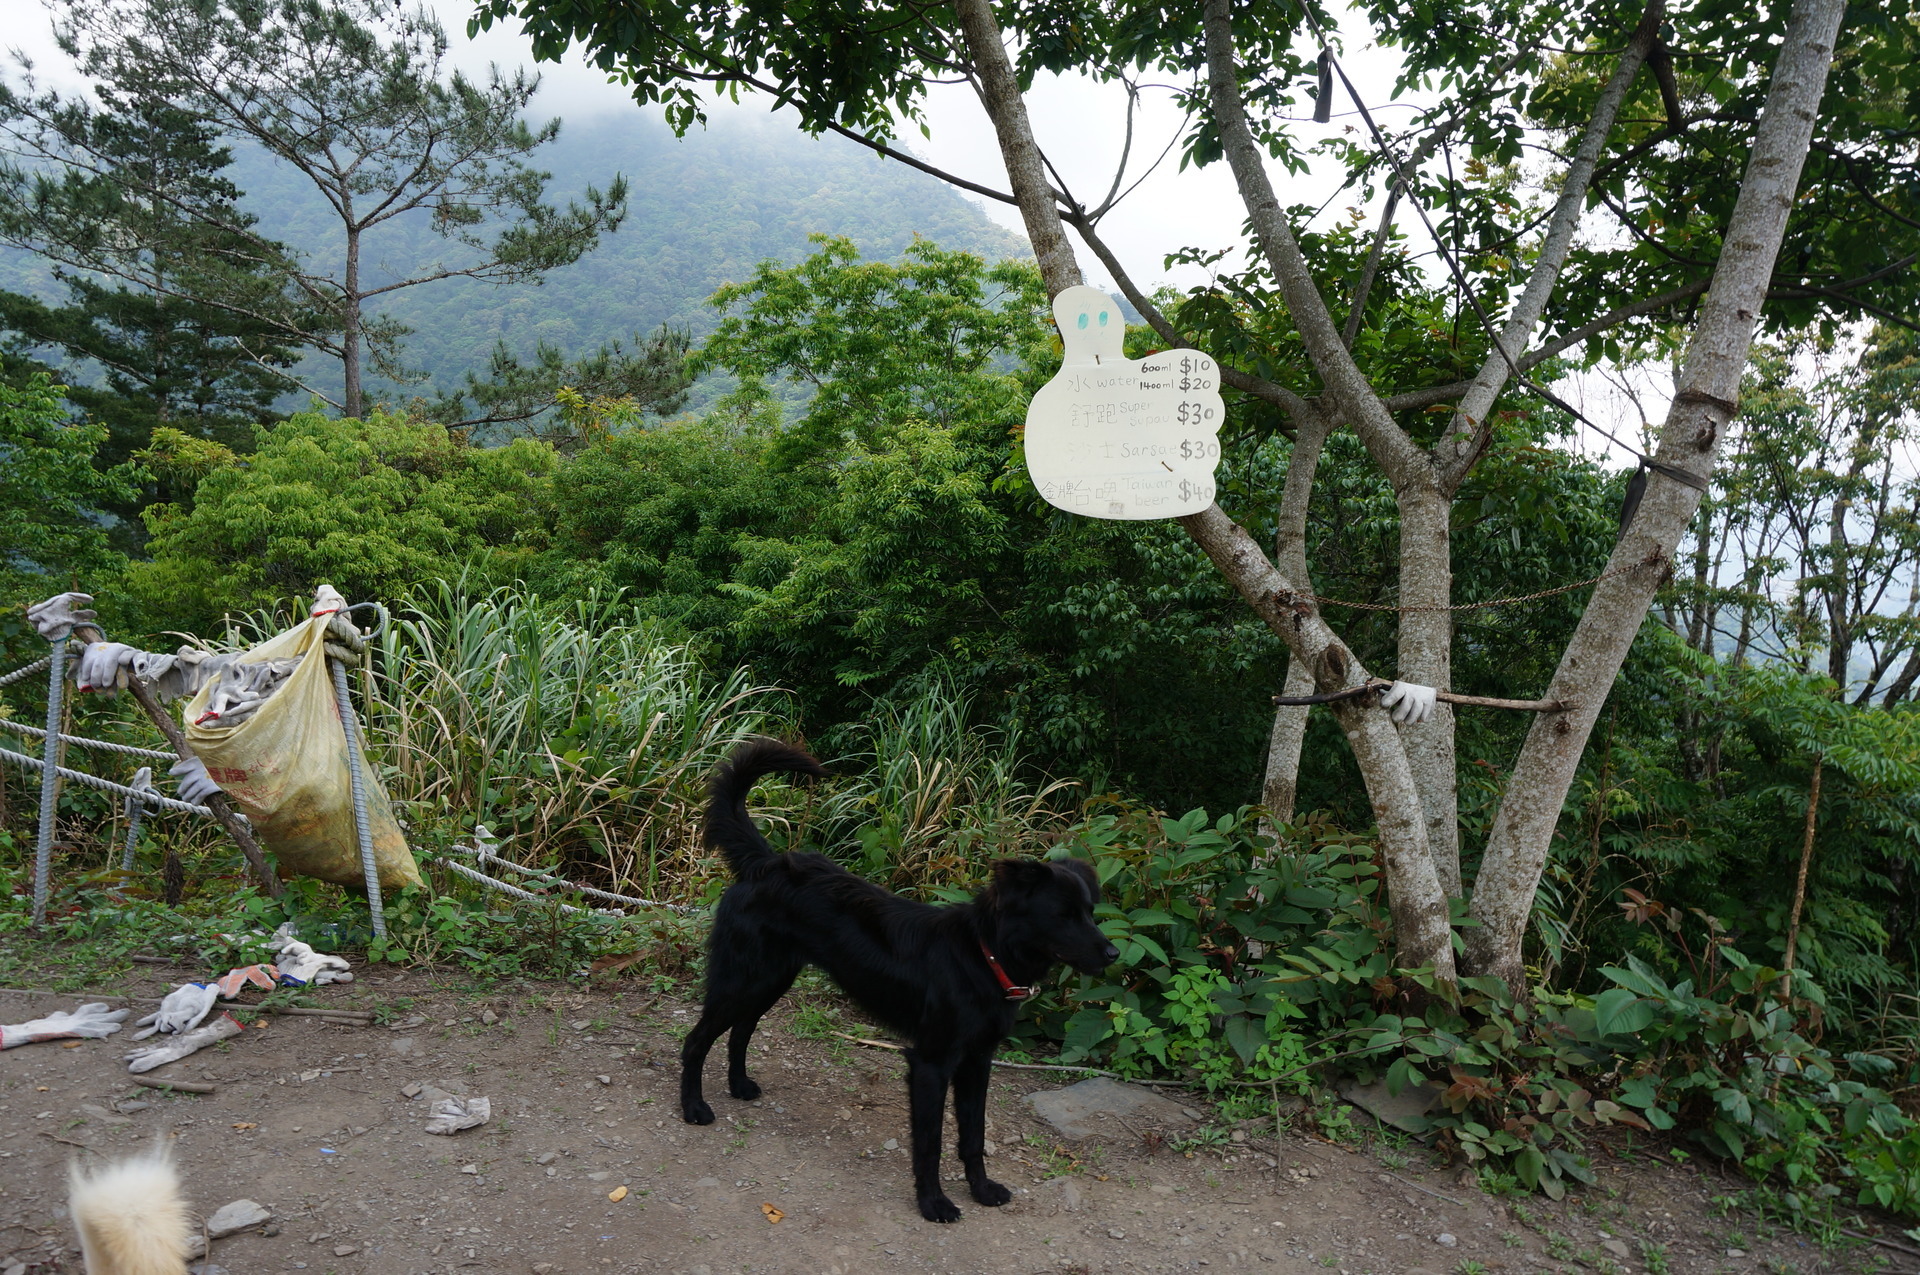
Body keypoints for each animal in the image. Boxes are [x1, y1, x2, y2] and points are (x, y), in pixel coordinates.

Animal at [683, 741, 1121, 1221]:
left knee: (741, 1029)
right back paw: (693, 1106)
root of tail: (766, 862)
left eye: (1090, 912)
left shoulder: (977, 1061)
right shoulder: (931, 1063)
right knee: (696, 1039)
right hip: (741, 979)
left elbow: (973, 1137)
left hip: (769, 979)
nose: (1113, 955)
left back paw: (739, 1086)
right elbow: (929, 1144)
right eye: (1063, 915)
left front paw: (981, 1190)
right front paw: (933, 1202)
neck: (982, 957)